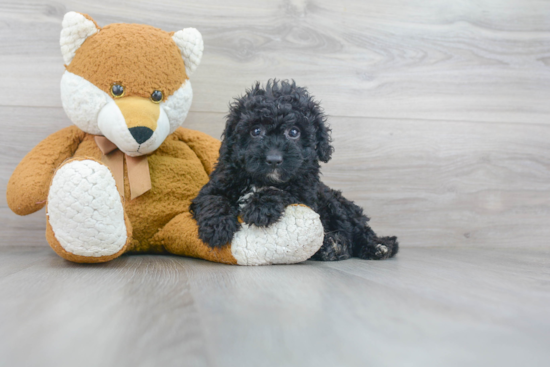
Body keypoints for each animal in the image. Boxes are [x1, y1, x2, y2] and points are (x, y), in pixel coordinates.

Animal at [192, 80, 398, 262]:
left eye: (293, 132)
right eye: (256, 131)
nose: (274, 159)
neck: (263, 180)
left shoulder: (305, 195)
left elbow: (283, 191)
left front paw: (260, 206)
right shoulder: (216, 185)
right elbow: (213, 200)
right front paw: (217, 227)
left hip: (336, 205)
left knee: (359, 231)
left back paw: (376, 246)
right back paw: (334, 246)